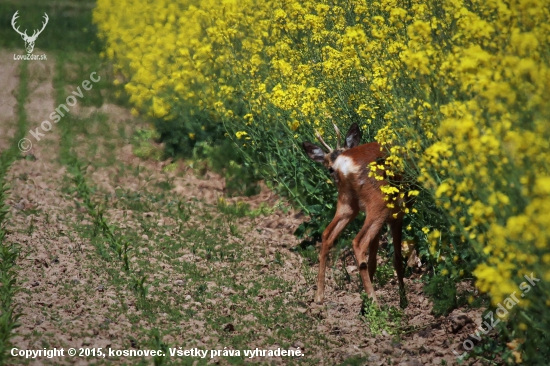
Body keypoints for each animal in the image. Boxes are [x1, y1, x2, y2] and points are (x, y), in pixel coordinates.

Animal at [302, 123, 410, 306]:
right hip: (379, 204)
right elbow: (396, 258)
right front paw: (403, 303)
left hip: (347, 204)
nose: (332, 173)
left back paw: (319, 296)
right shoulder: (397, 214)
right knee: (358, 243)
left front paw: (363, 307)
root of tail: (344, 166)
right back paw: (375, 303)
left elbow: (373, 260)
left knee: (327, 234)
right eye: (327, 167)